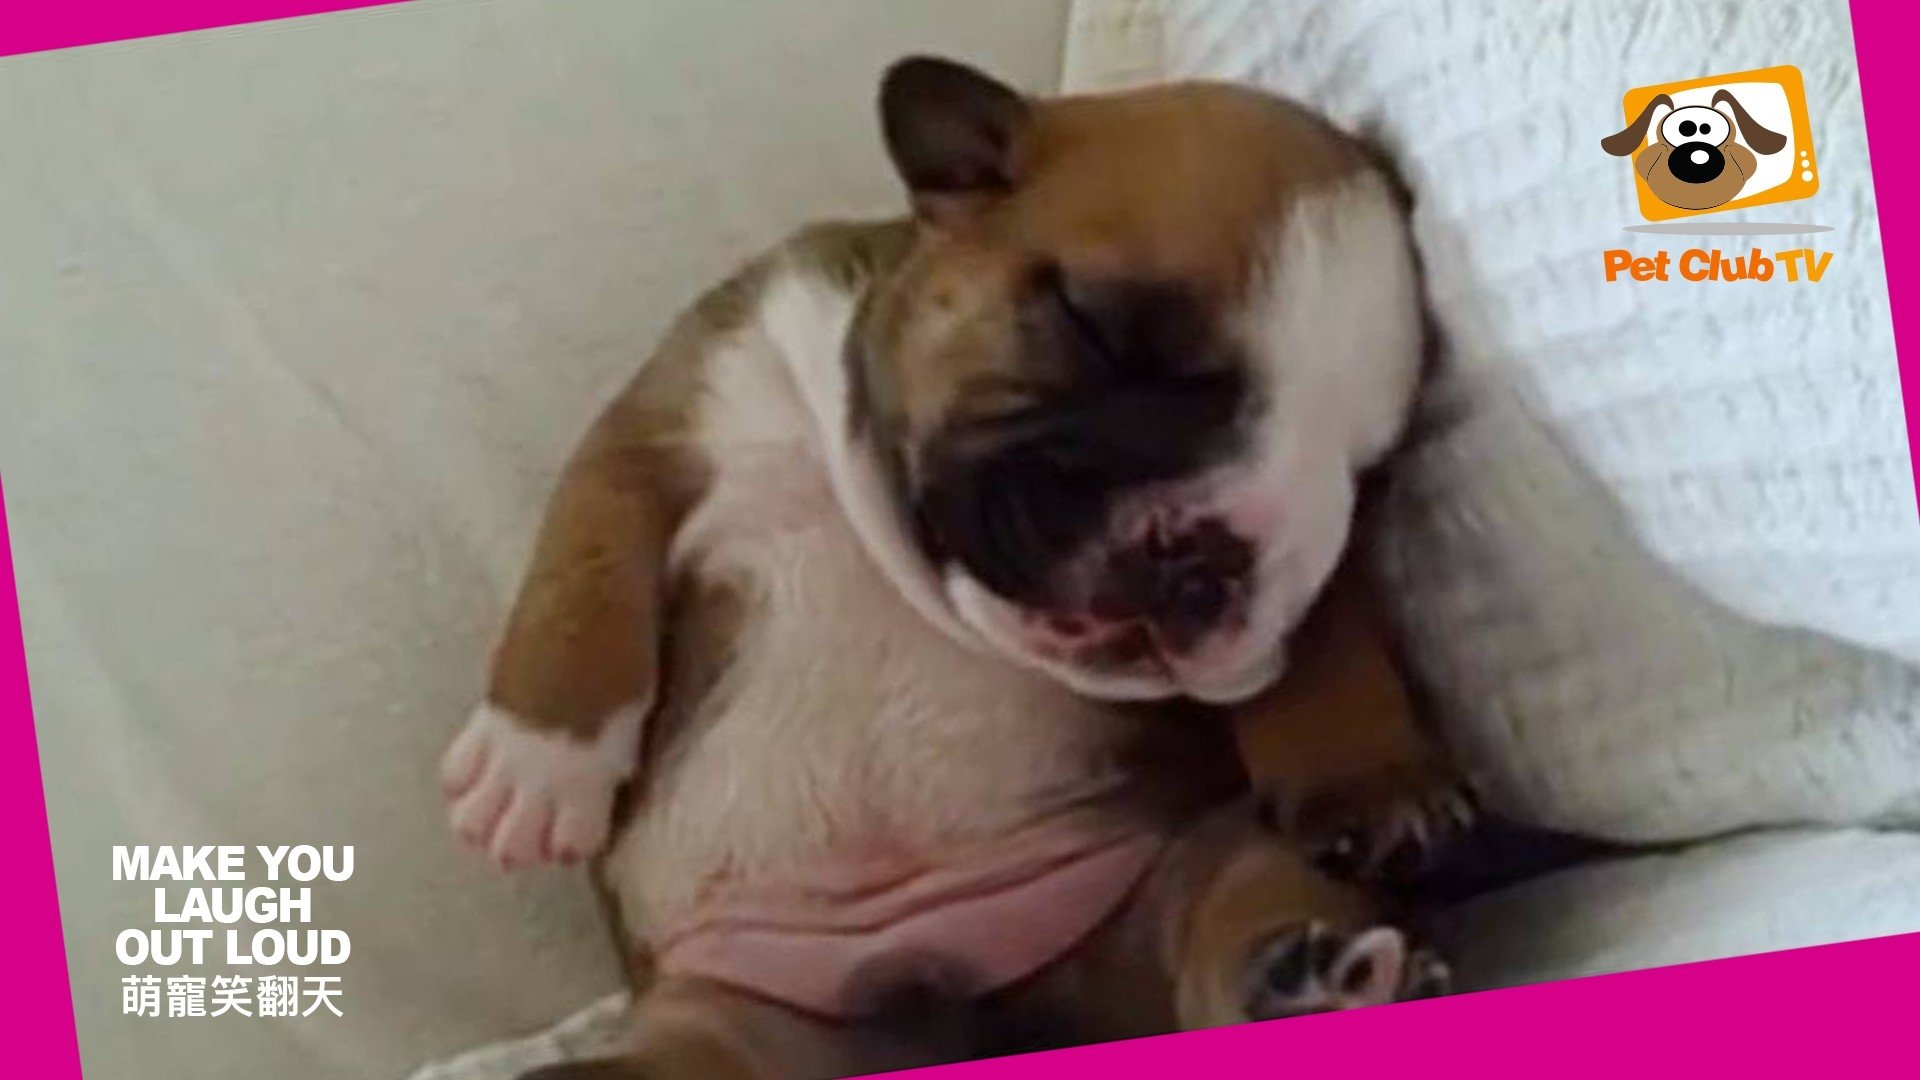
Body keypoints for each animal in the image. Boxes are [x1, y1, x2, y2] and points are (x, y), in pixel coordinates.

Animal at [440, 56, 1468, 1078]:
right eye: (1091, 325)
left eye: (1366, 479)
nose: (1202, 554)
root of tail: (959, 1007)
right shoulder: (660, 425)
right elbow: (586, 566)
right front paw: (538, 763)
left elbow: (1329, 644)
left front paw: (1367, 774)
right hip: (726, 1013)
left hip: (1195, 870)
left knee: (1238, 898)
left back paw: (1326, 986)